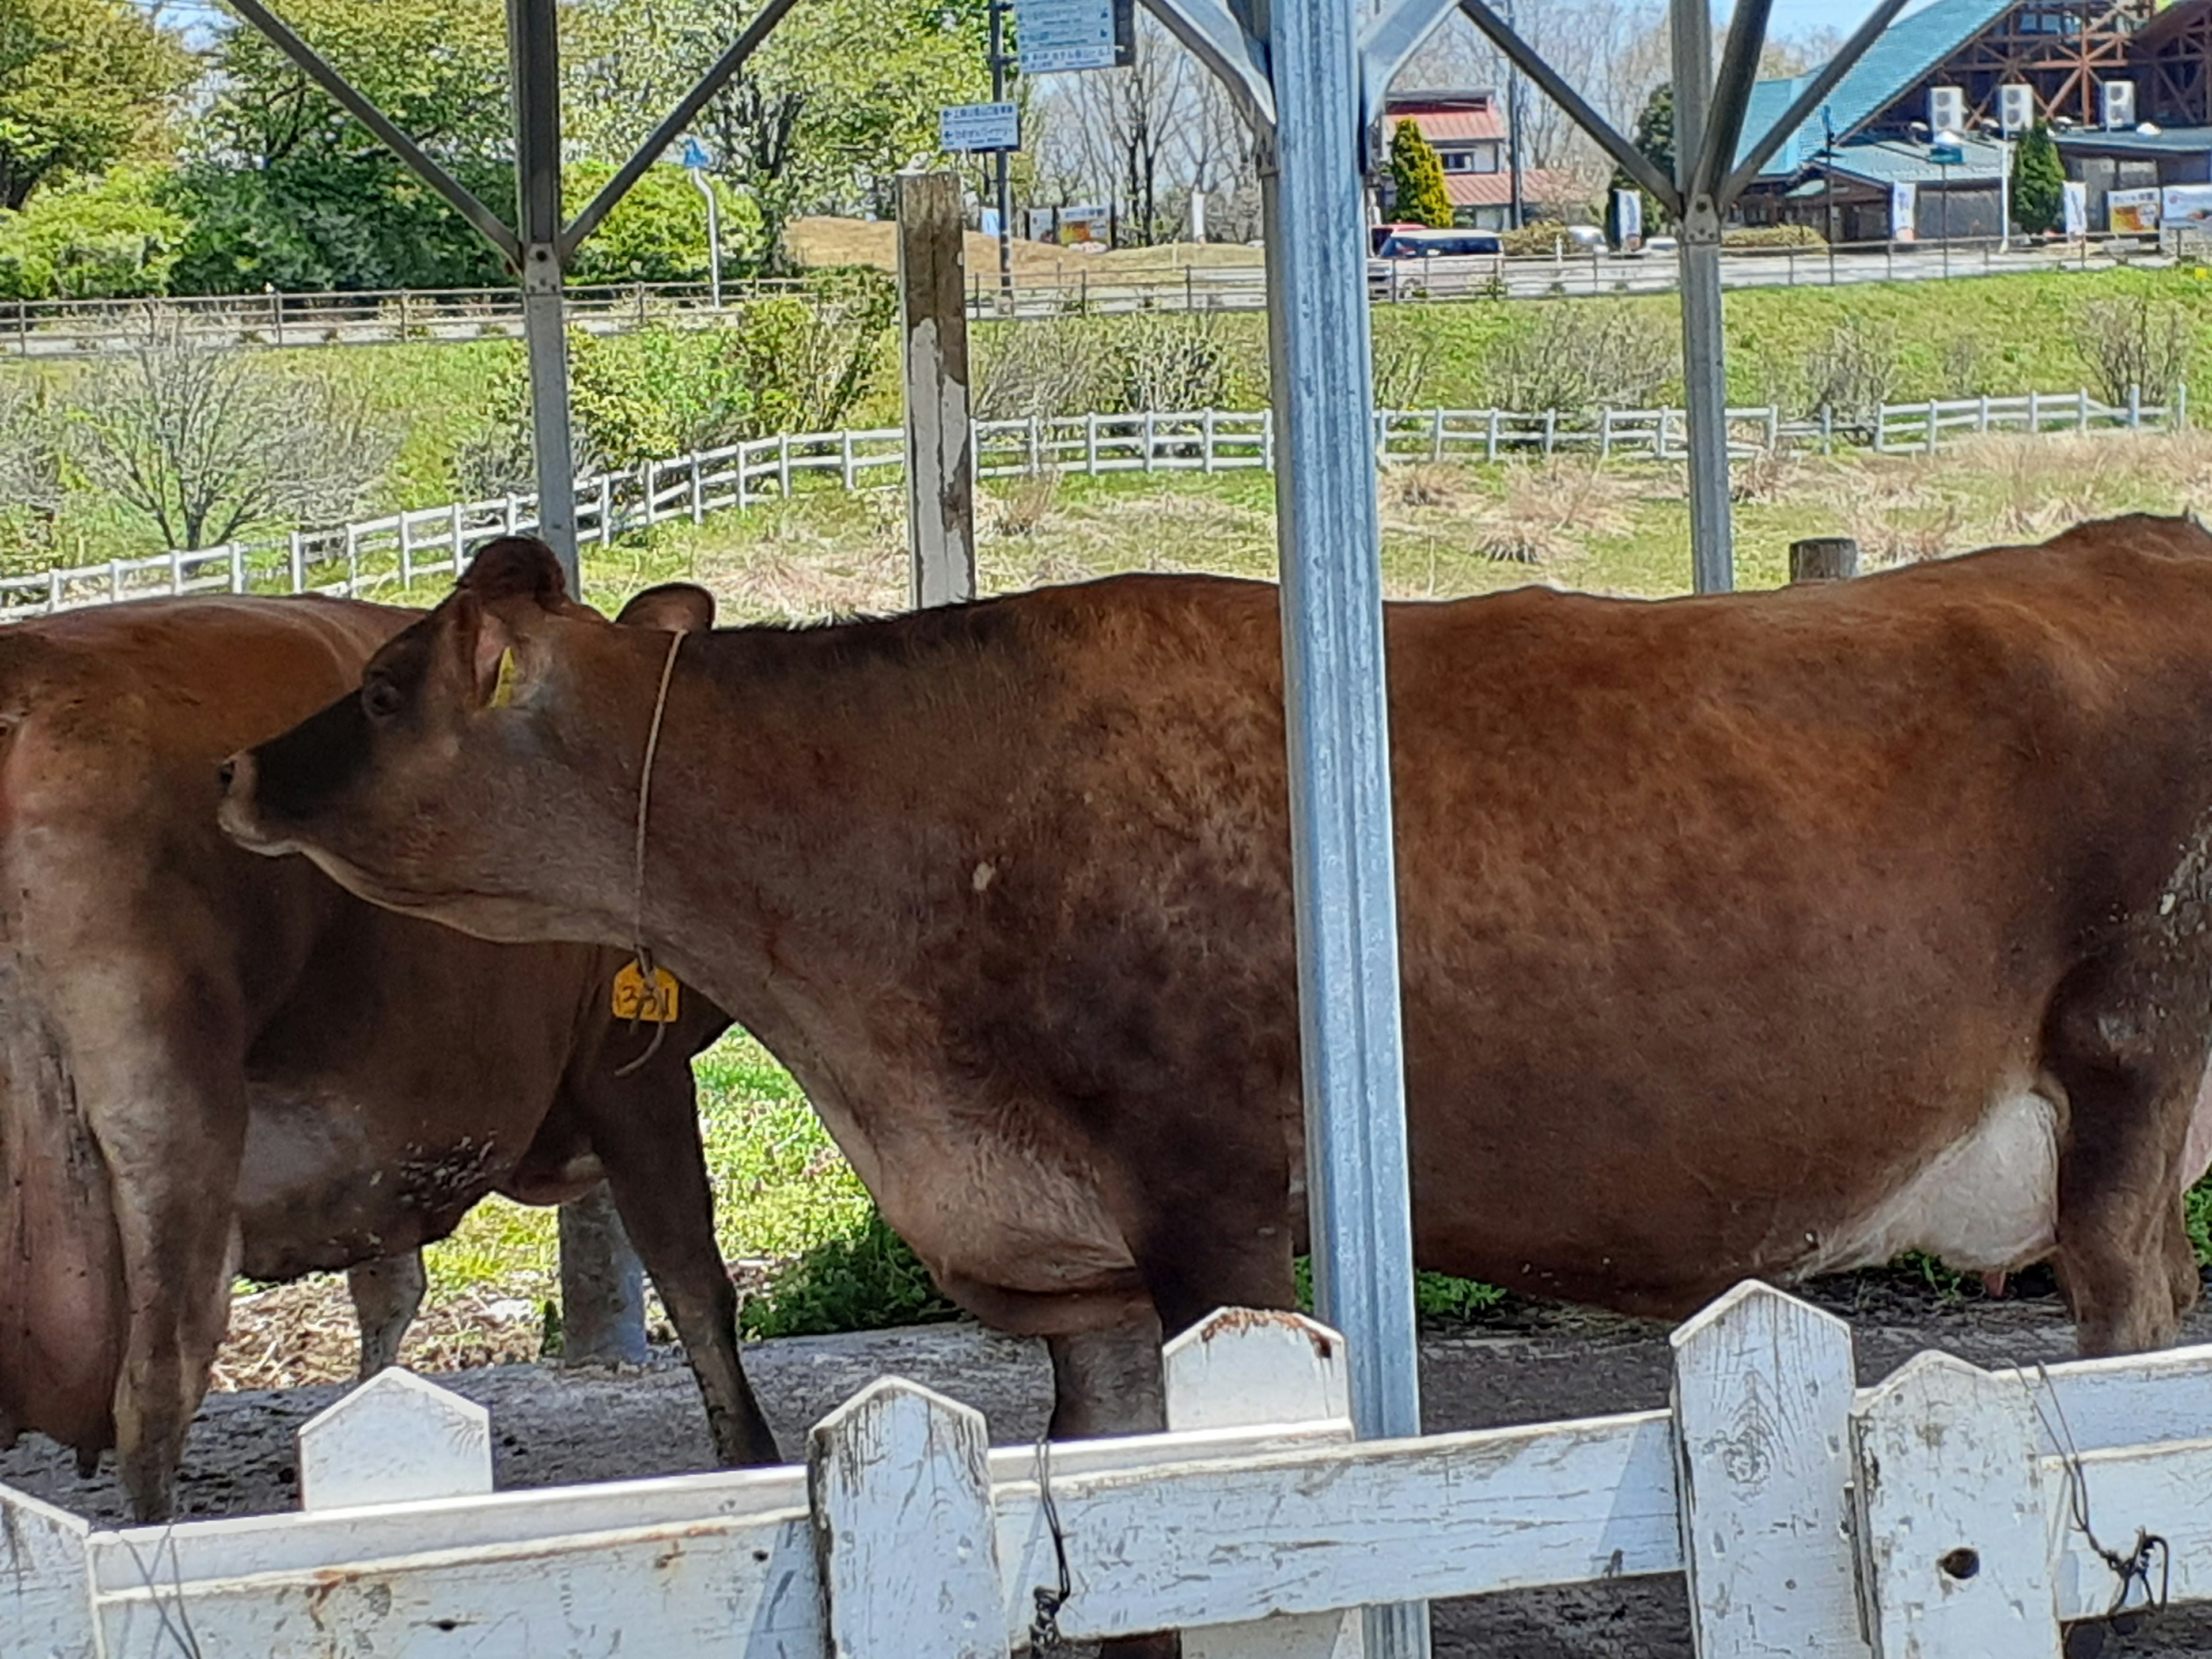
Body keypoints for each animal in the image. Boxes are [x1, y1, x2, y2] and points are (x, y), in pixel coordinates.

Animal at [0, 593, 778, 1531]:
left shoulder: (376, 1144)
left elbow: (388, 1297)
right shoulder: (630, 1066)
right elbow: (694, 1277)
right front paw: (752, 1455)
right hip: (169, 1121)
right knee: (156, 1392)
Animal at [220, 520, 2212, 1442]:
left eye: (383, 689)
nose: (234, 767)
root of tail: (2136, 536)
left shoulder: (1213, 1205)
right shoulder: (1071, 1267)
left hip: (2126, 1061)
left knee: (2128, 1321)